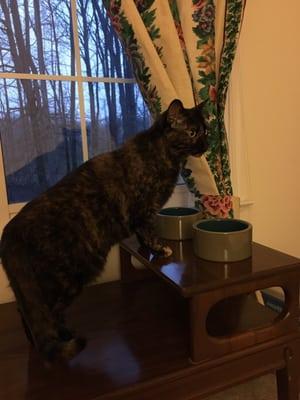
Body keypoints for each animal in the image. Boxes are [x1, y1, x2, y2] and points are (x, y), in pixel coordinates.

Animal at [0, 98, 207, 360]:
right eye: (192, 132)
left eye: (206, 130)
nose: (206, 143)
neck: (164, 155)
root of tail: (10, 233)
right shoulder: (143, 210)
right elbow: (149, 232)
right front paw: (160, 249)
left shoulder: (141, 215)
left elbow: (142, 234)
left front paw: (147, 248)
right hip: (69, 276)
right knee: (45, 313)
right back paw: (62, 336)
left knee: (26, 311)